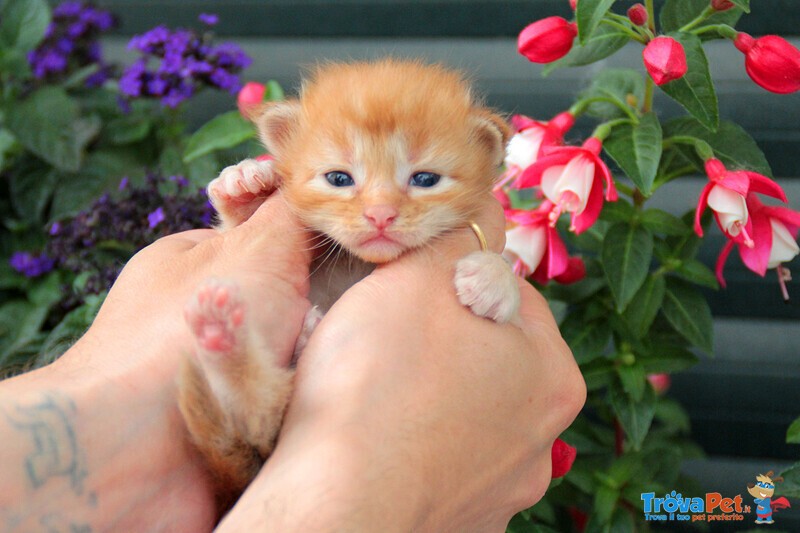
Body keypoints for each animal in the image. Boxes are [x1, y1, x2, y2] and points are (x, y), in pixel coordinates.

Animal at [179, 59, 520, 512]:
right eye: (339, 178)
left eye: (425, 179)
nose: (380, 214)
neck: (360, 264)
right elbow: (235, 228)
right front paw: (245, 184)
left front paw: (494, 279)